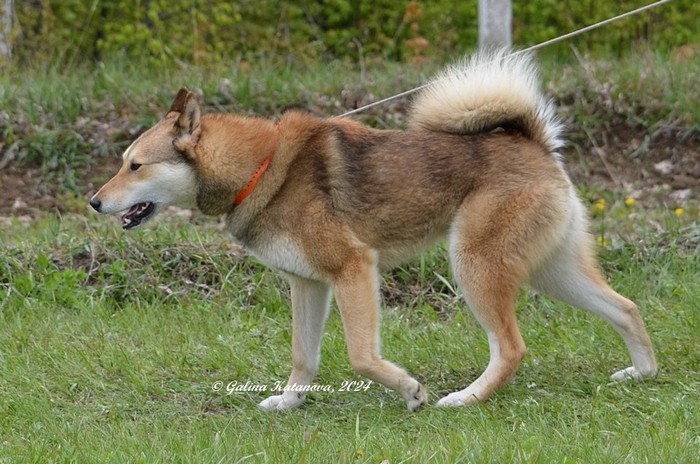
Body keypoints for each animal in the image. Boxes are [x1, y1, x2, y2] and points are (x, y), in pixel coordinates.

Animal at [90, 50, 657, 411]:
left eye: (135, 166)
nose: (94, 201)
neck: (262, 167)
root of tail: (531, 142)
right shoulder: (308, 284)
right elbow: (303, 356)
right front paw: (290, 401)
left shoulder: (353, 270)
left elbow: (362, 357)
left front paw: (410, 391)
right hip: (551, 272)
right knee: (626, 308)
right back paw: (642, 374)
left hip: (476, 266)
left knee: (512, 348)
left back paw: (466, 398)